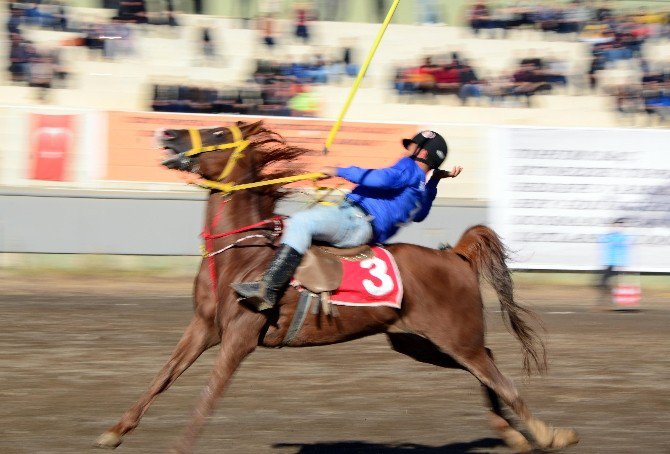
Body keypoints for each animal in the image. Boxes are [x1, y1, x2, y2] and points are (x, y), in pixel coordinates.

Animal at [93, 121, 576, 454]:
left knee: (498, 377)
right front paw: (114, 431)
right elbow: (163, 376)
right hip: (420, 342)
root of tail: (454, 255)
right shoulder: (203, 328)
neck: (244, 254)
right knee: (487, 367)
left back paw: (549, 433)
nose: (168, 132)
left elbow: (208, 396)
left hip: (456, 337)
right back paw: (512, 434)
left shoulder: (239, 338)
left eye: (217, 133)